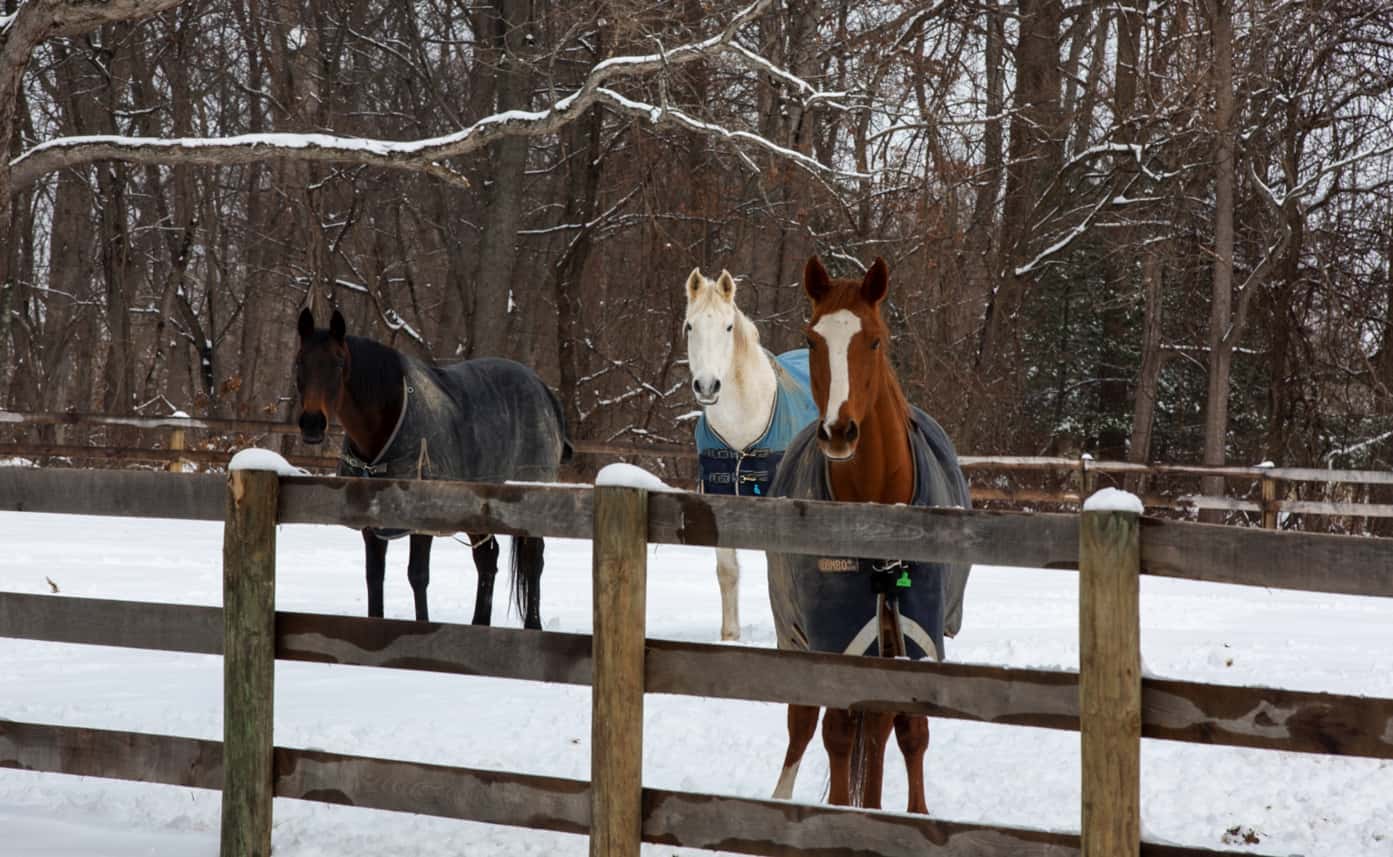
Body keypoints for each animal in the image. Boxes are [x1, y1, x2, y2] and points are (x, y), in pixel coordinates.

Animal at [293, 305, 571, 627]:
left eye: (339, 362)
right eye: (300, 361)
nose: (312, 424)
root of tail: (543, 389)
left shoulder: (422, 521)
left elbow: (418, 576)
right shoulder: (372, 527)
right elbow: (374, 578)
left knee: (532, 560)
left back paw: (533, 626)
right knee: (487, 558)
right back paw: (479, 625)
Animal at [763, 255, 969, 813]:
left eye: (875, 341)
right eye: (812, 340)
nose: (839, 432)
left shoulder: (916, 636)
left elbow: (911, 730)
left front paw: (914, 815)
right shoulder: (835, 637)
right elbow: (834, 732)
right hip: (798, 635)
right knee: (803, 725)